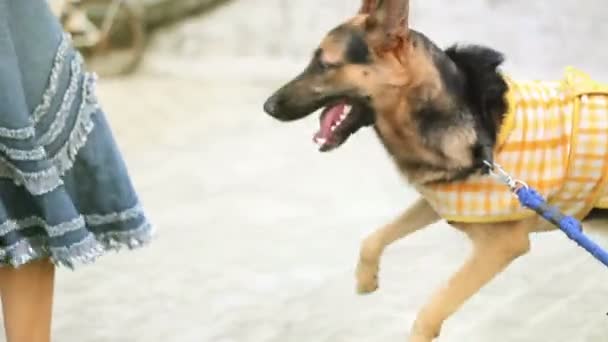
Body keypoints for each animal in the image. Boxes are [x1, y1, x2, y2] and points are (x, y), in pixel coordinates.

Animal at [262, 1, 608, 340]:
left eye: (324, 64)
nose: (268, 107)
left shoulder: (501, 247)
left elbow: (430, 312)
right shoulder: (437, 200)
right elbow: (374, 238)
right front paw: (365, 278)